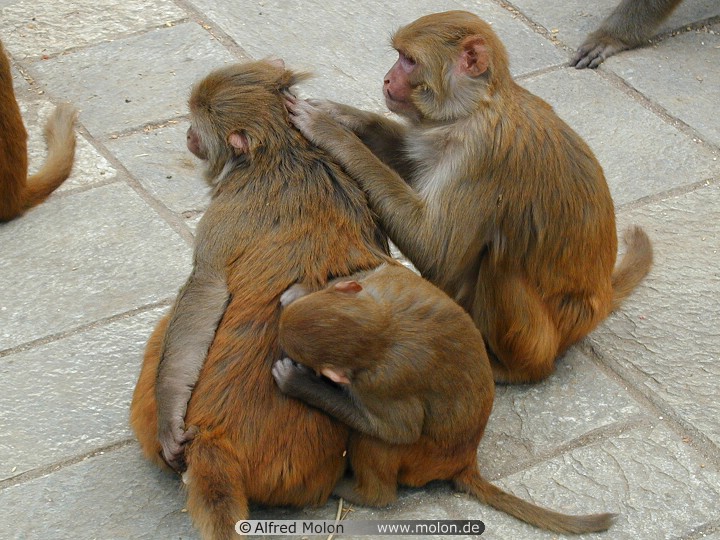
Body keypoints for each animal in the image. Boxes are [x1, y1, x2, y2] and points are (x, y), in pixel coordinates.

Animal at [129, 60, 391, 539]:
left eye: (196, 123)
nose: (187, 135)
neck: (282, 151)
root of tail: (213, 442)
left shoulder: (225, 209)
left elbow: (205, 287)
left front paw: (170, 418)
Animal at [272, 262, 615, 534]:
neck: (381, 326)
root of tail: (464, 461)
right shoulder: (391, 283)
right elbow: (387, 269)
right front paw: (301, 292)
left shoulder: (381, 383)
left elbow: (396, 430)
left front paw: (298, 382)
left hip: (420, 461)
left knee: (379, 441)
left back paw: (367, 494)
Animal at [284, 10, 653, 385]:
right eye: (399, 56)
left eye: (409, 60)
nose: (387, 79)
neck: (476, 108)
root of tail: (601, 302)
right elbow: (413, 154)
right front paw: (341, 114)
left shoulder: (481, 154)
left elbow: (437, 249)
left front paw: (332, 132)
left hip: (542, 338)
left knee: (501, 258)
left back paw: (511, 368)